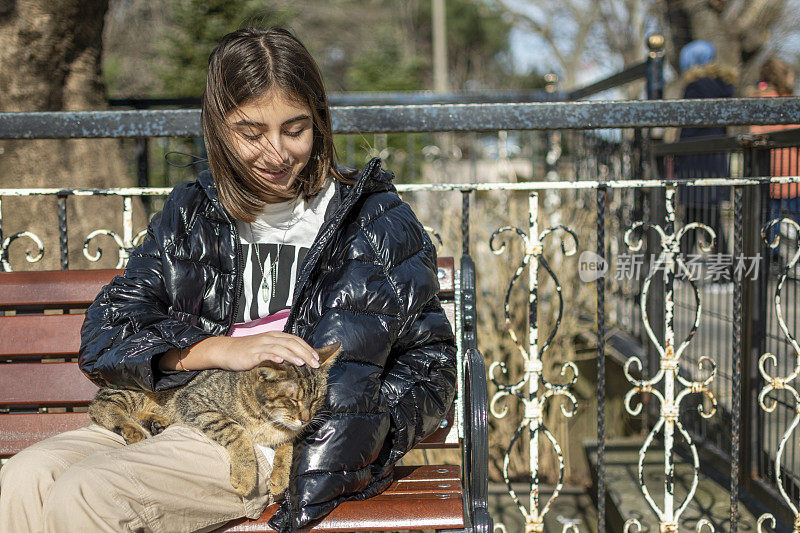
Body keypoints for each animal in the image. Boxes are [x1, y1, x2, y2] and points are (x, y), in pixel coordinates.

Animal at [89, 342, 340, 496]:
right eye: (293, 400)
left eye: (316, 400)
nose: (306, 419)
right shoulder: (193, 401)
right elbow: (236, 430)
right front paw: (245, 474)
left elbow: (287, 446)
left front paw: (280, 476)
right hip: (135, 389)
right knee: (99, 407)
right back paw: (132, 428)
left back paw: (156, 422)